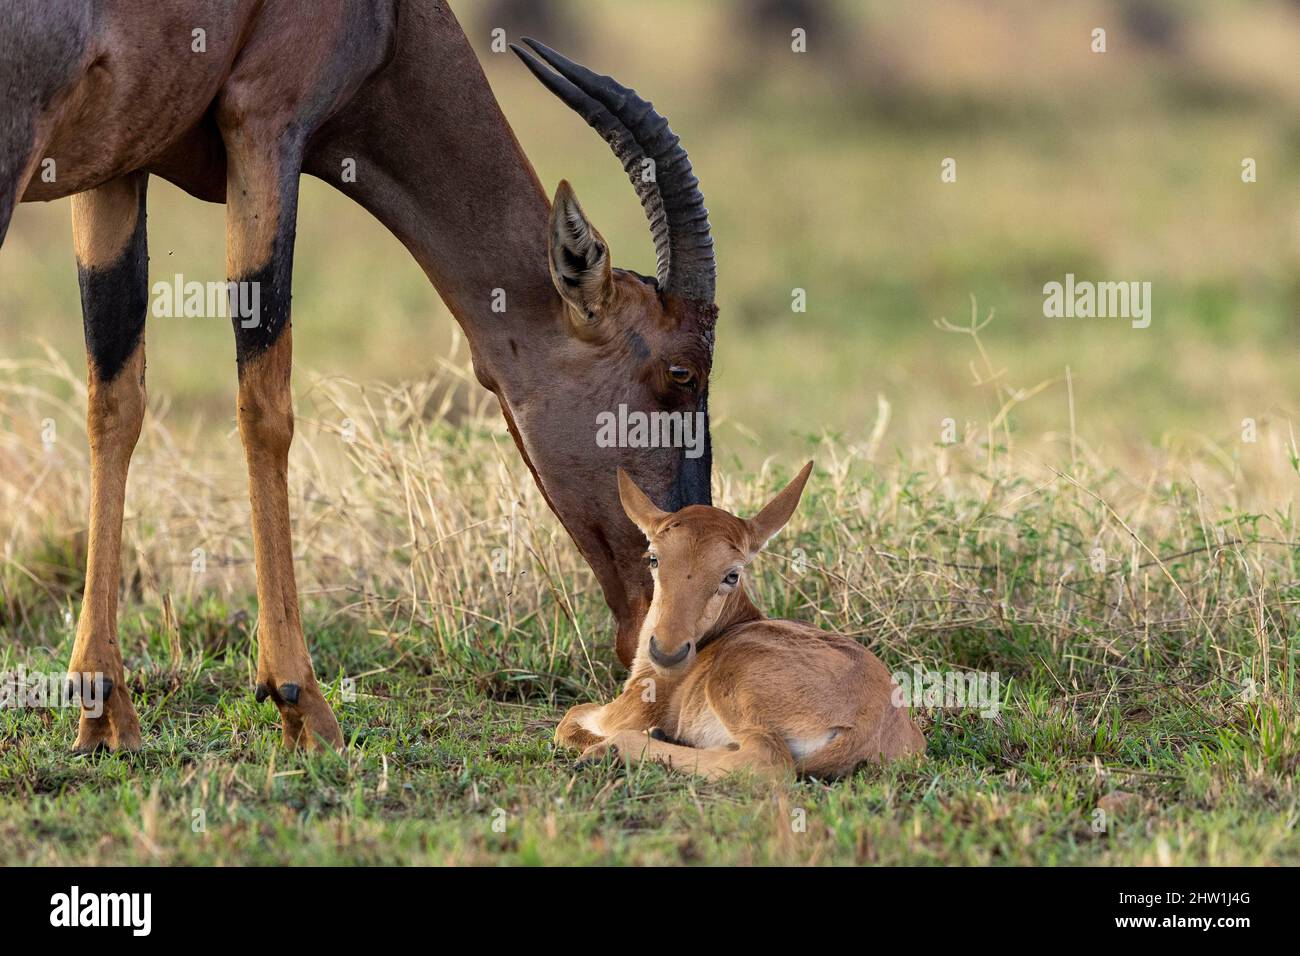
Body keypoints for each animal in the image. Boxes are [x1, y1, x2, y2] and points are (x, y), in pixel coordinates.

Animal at [0, 3, 712, 759]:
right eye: (681, 371)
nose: (666, 629)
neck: (391, 17)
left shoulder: (115, 164)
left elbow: (114, 400)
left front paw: (104, 711)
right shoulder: (265, 121)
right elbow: (266, 406)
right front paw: (301, 703)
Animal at [559, 465, 925, 785]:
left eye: (731, 574)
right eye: (654, 558)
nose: (668, 652)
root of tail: (870, 725)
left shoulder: (623, 712)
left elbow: (570, 719)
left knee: (767, 759)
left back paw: (608, 751)